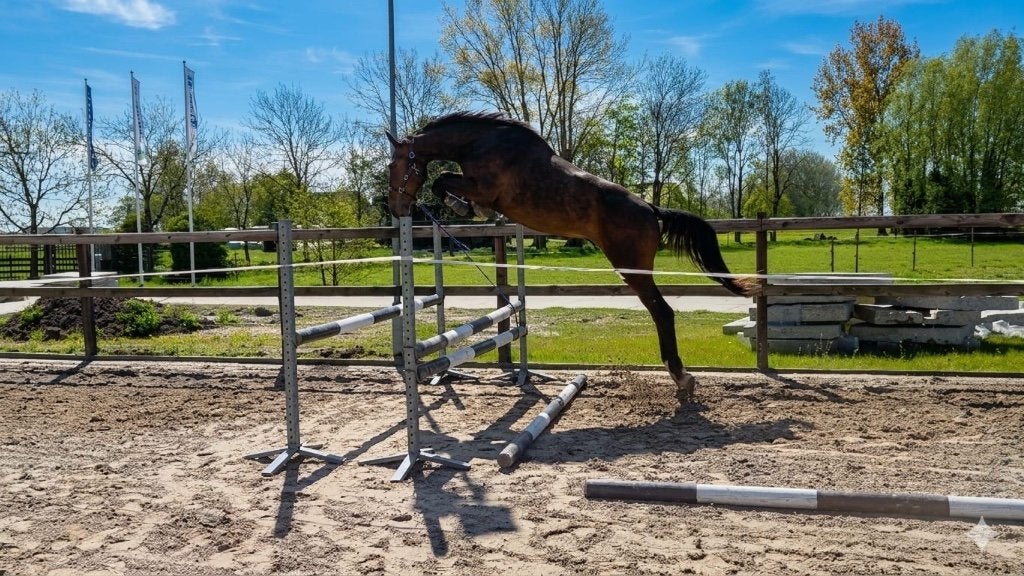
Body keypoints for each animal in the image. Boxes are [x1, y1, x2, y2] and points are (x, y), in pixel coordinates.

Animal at [386, 111, 753, 399]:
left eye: (394, 163)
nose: (397, 207)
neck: (480, 142)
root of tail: (651, 209)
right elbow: (444, 180)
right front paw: (466, 209)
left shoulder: (483, 187)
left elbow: (443, 180)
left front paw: (465, 208)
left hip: (631, 268)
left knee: (662, 312)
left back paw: (681, 377)